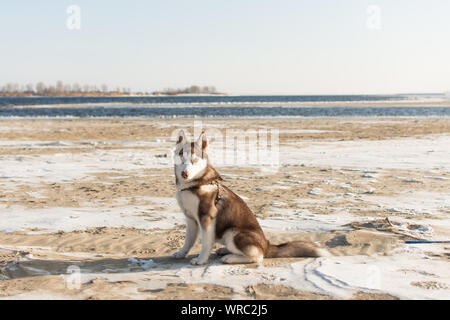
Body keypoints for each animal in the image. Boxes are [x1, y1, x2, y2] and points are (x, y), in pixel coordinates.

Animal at [171, 129, 328, 264]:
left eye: (195, 160)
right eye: (181, 157)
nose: (185, 173)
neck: (194, 185)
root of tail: (267, 244)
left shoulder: (207, 218)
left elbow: (205, 243)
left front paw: (201, 260)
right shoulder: (190, 218)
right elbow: (188, 240)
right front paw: (181, 253)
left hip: (232, 232)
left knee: (257, 256)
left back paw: (230, 258)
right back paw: (224, 251)